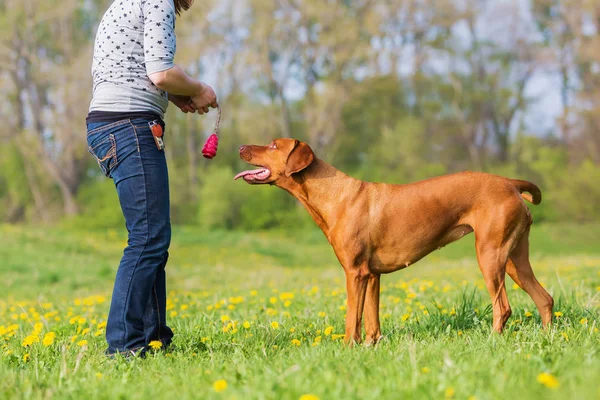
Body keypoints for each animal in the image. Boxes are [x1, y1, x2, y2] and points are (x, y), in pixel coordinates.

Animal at [234, 138, 552, 344]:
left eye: (273, 145)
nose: (240, 147)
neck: (333, 194)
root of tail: (510, 183)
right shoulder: (372, 275)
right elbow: (371, 321)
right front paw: (370, 347)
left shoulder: (355, 273)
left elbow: (352, 319)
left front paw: (348, 348)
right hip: (514, 260)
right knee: (544, 298)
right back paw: (548, 337)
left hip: (489, 256)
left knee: (503, 307)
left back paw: (492, 341)